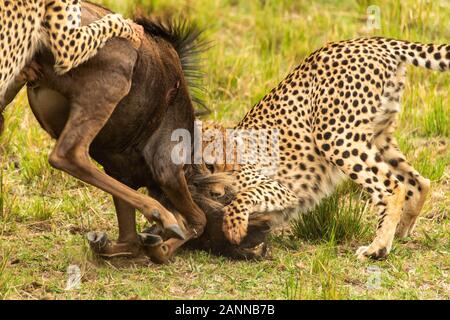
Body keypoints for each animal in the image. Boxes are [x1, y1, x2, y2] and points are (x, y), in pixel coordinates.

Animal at [212, 37, 450, 260]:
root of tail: (373, 41)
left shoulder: (280, 188)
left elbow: (242, 198)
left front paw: (234, 228)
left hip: (334, 136)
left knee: (393, 188)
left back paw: (377, 248)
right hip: (377, 135)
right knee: (420, 182)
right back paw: (399, 233)